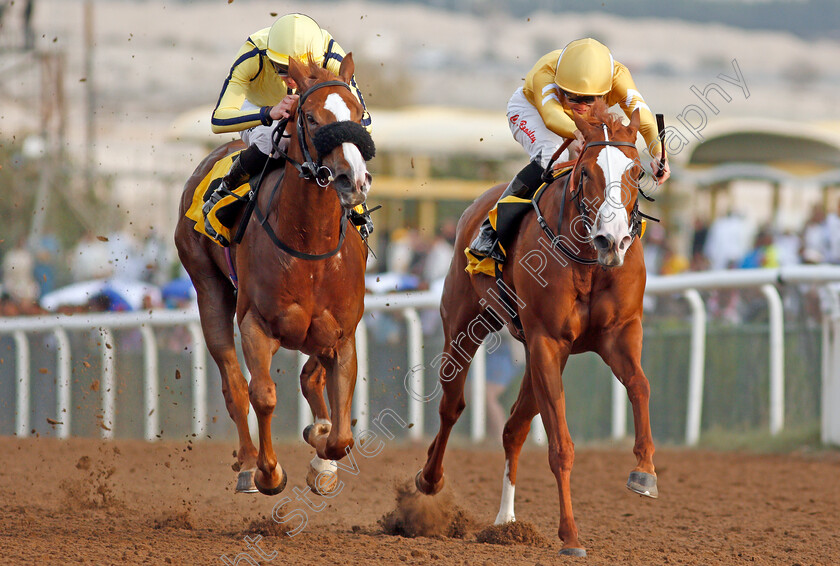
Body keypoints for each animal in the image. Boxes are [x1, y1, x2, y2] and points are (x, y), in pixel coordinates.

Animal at [174, 54, 370, 496]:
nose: (352, 180)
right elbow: (261, 394)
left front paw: (322, 452)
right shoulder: (256, 325)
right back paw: (248, 463)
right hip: (207, 286)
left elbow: (341, 434)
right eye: (310, 118)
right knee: (234, 384)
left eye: (357, 115)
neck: (310, 248)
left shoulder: (342, 335)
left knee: (310, 378)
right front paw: (269, 472)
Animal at [416, 103, 660, 560]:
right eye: (587, 172)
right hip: (465, 324)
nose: (613, 239)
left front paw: (644, 472)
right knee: (452, 406)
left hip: (532, 355)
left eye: (636, 170)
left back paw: (506, 522)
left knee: (513, 427)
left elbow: (640, 385)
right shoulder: (547, 340)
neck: (588, 258)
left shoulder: (619, 334)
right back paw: (429, 479)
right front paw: (571, 537)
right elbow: (561, 446)